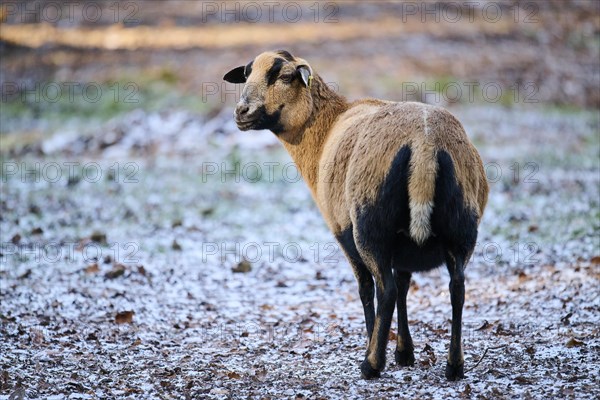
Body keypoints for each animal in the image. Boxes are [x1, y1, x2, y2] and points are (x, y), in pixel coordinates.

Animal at [223, 51, 490, 380]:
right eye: (246, 75)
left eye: (284, 77)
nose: (242, 111)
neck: (325, 130)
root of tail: (426, 145)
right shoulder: (403, 249)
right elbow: (405, 285)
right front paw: (404, 353)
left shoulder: (343, 231)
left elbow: (367, 290)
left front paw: (376, 346)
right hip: (461, 227)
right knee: (457, 288)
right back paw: (454, 366)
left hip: (370, 226)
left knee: (385, 290)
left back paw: (371, 363)